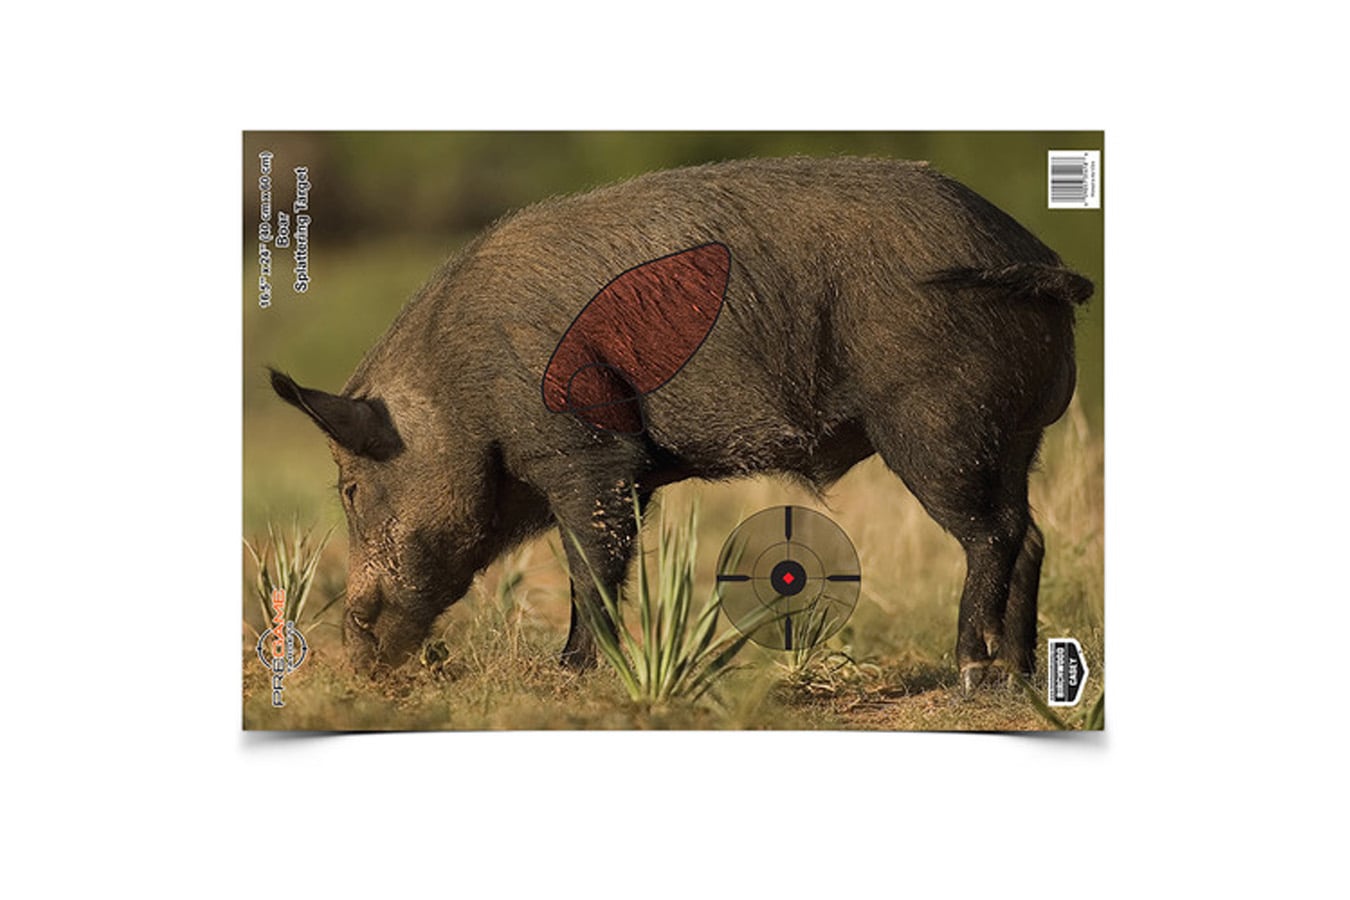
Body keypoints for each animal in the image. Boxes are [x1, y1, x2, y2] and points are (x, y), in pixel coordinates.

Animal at [269, 155, 1093, 691]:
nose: (352, 654)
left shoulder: (589, 453)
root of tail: (1040, 257)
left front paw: (570, 675)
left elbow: (591, 567)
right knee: (1030, 533)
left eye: (350, 489)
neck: (459, 394)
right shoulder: (623, 473)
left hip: (938, 425)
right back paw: (1020, 676)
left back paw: (973, 669)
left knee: (994, 534)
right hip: (1017, 439)